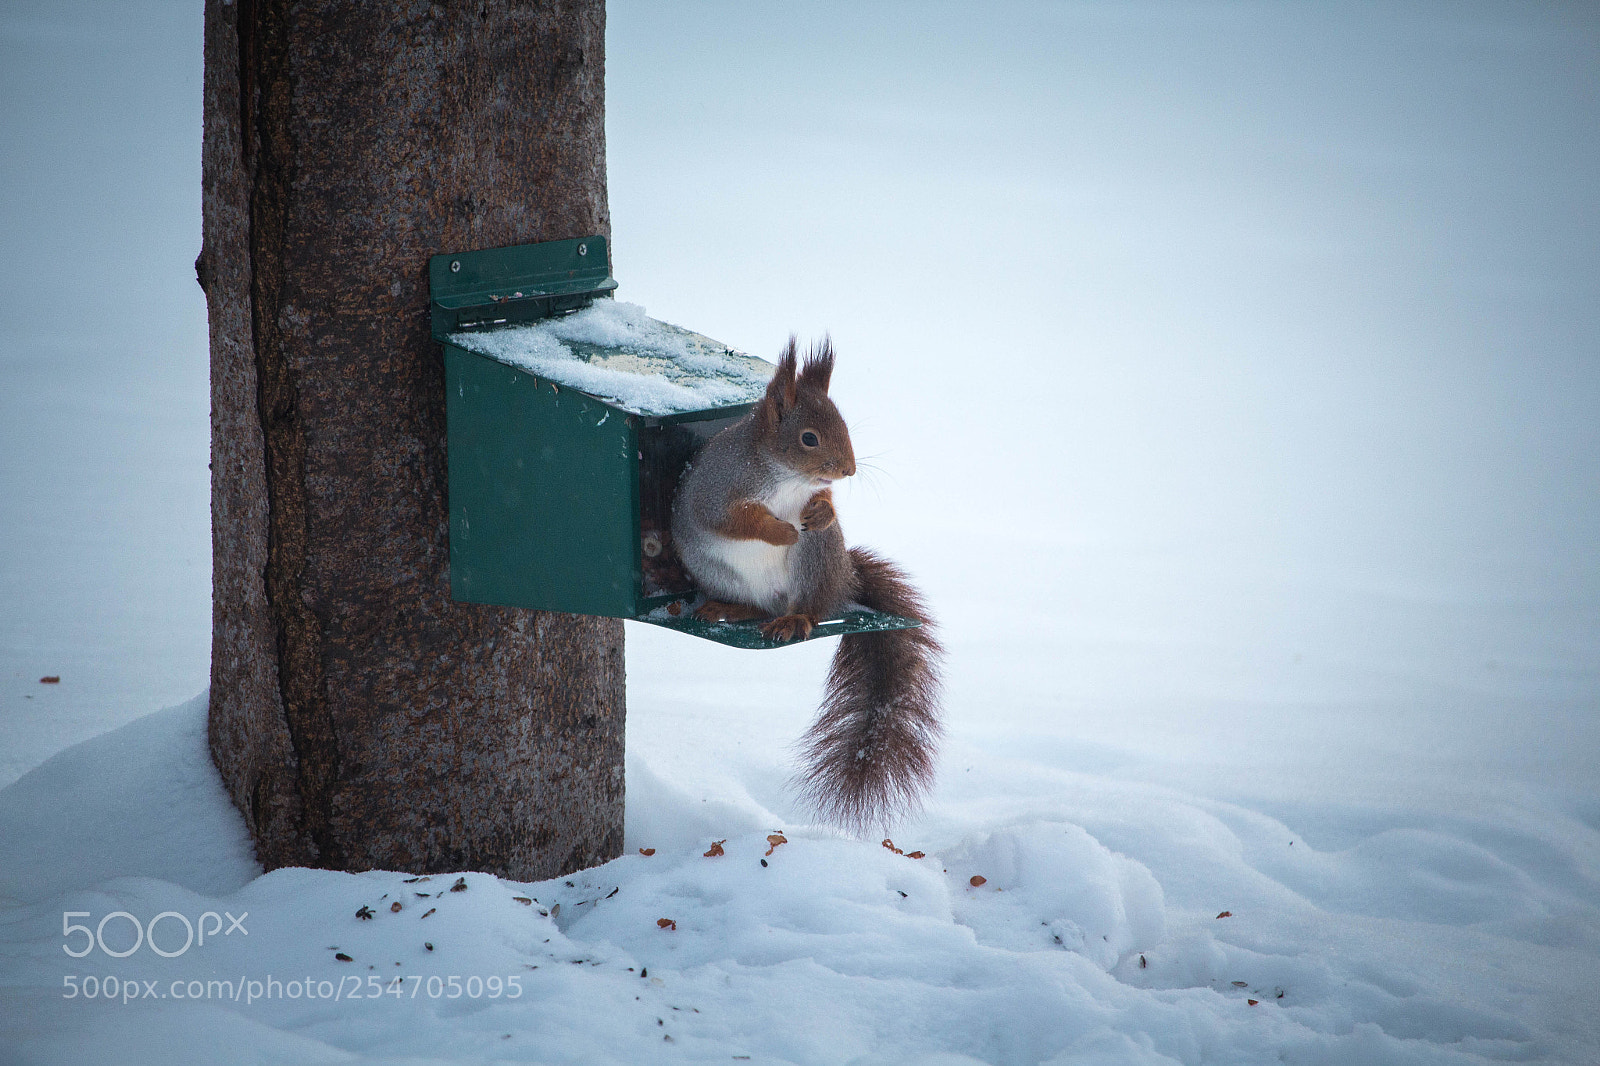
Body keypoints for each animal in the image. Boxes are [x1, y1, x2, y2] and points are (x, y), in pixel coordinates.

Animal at [670, 337, 944, 833]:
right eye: (809, 438)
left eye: (844, 424)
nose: (849, 470)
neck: (786, 477)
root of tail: (842, 580)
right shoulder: (717, 493)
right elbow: (737, 519)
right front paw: (780, 530)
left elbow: (824, 502)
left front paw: (821, 510)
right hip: (714, 569)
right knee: (760, 607)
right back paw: (733, 608)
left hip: (815, 562)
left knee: (812, 609)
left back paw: (796, 617)